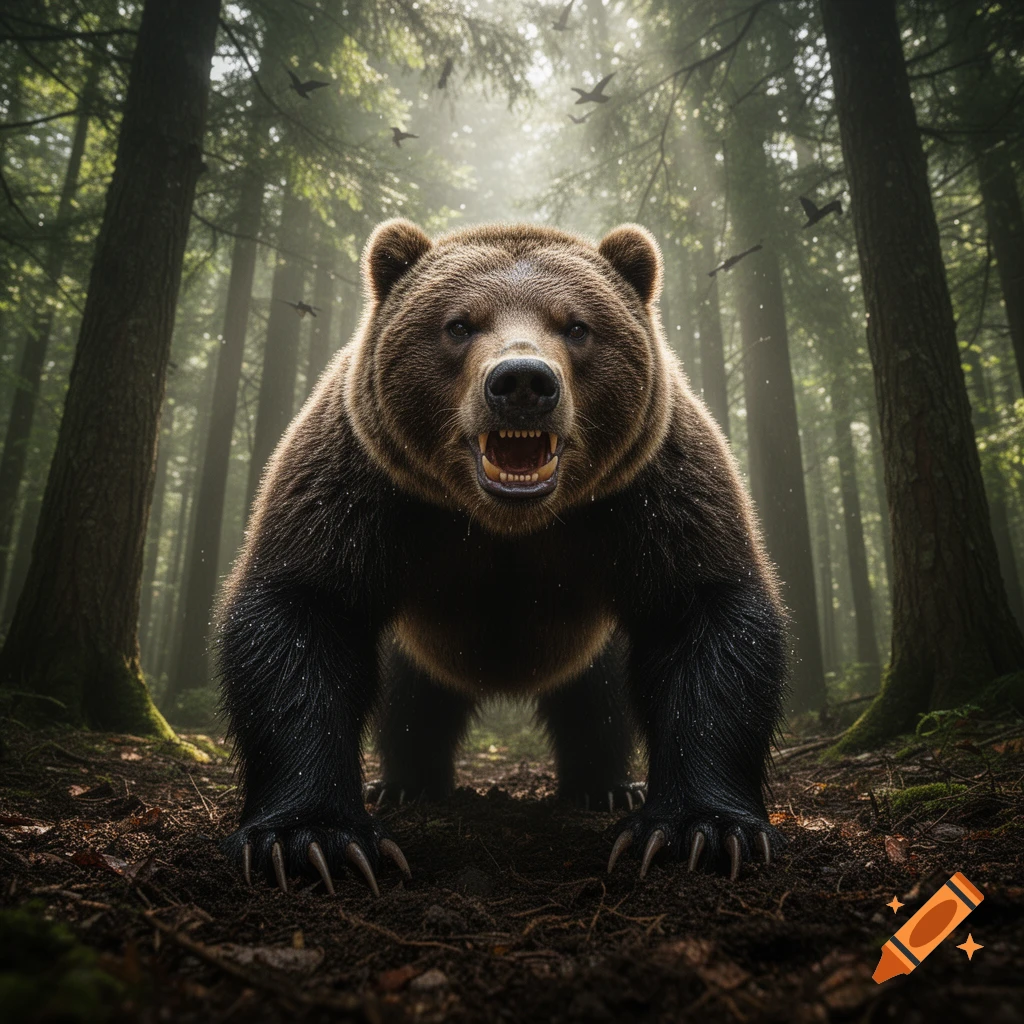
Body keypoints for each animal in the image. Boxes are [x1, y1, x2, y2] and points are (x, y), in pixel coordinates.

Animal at [217, 219, 788, 895]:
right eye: (459, 324)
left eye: (577, 326)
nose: (522, 382)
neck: (506, 524)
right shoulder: (363, 484)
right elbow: (304, 616)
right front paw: (309, 839)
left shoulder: (651, 492)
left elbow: (703, 620)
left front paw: (703, 831)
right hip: (425, 646)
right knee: (414, 702)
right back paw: (405, 783)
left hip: (585, 646)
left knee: (596, 700)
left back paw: (607, 787)